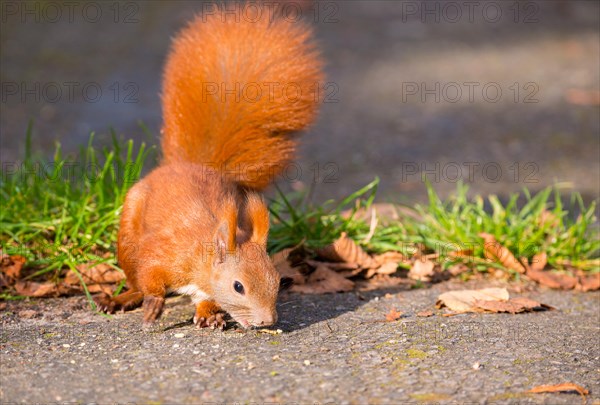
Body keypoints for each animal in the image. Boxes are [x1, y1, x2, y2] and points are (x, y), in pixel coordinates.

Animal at [94, 9, 322, 328]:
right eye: (238, 286)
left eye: (278, 281)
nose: (267, 321)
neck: (203, 256)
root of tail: (185, 165)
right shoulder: (163, 253)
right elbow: (150, 273)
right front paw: (155, 303)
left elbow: (206, 298)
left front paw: (208, 314)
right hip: (127, 234)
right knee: (134, 276)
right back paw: (123, 298)